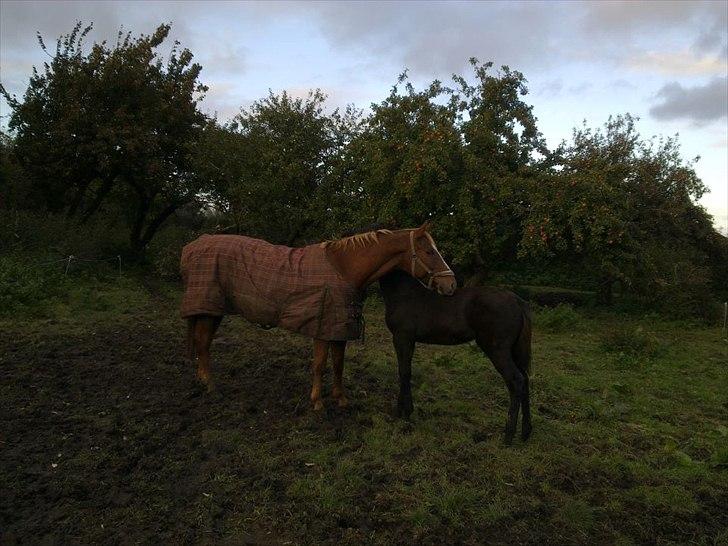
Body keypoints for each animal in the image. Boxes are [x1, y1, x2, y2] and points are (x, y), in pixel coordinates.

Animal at [183, 222, 456, 408]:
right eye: (430, 252)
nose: (451, 285)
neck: (345, 269)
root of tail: (194, 245)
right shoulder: (322, 328)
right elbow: (319, 364)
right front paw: (317, 402)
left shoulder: (338, 329)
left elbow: (338, 364)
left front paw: (341, 398)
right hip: (209, 308)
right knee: (203, 344)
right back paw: (211, 386)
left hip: (211, 309)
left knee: (201, 343)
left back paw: (201, 380)